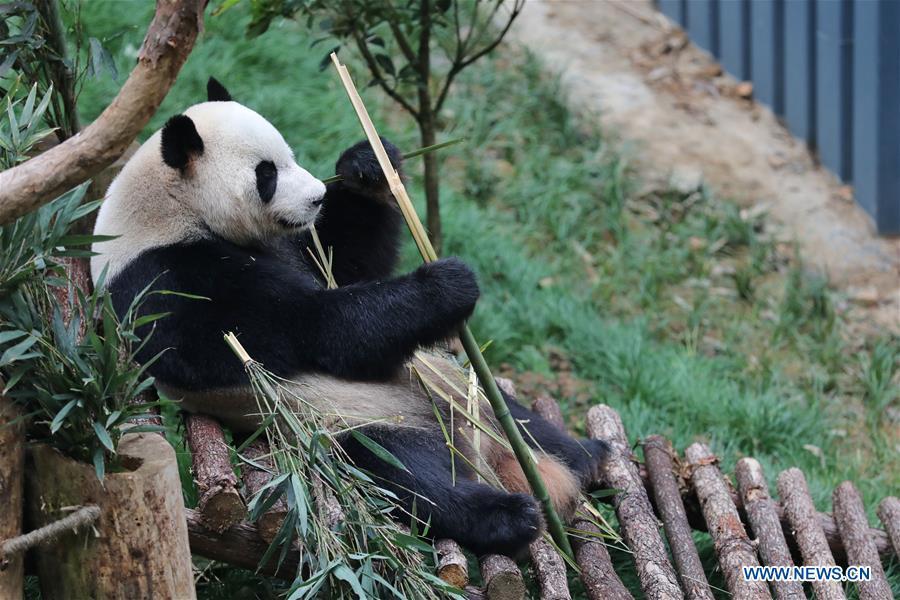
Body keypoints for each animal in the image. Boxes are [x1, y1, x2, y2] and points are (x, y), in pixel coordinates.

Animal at [91, 78, 608, 556]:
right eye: (266, 175)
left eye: (290, 155)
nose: (318, 197)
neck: (169, 208)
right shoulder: (168, 281)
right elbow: (313, 329)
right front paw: (448, 284)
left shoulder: (291, 244)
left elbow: (346, 261)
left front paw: (368, 164)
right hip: (350, 425)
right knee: (407, 475)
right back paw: (510, 516)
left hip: (463, 394)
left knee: (519, 420)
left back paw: (589, 456)